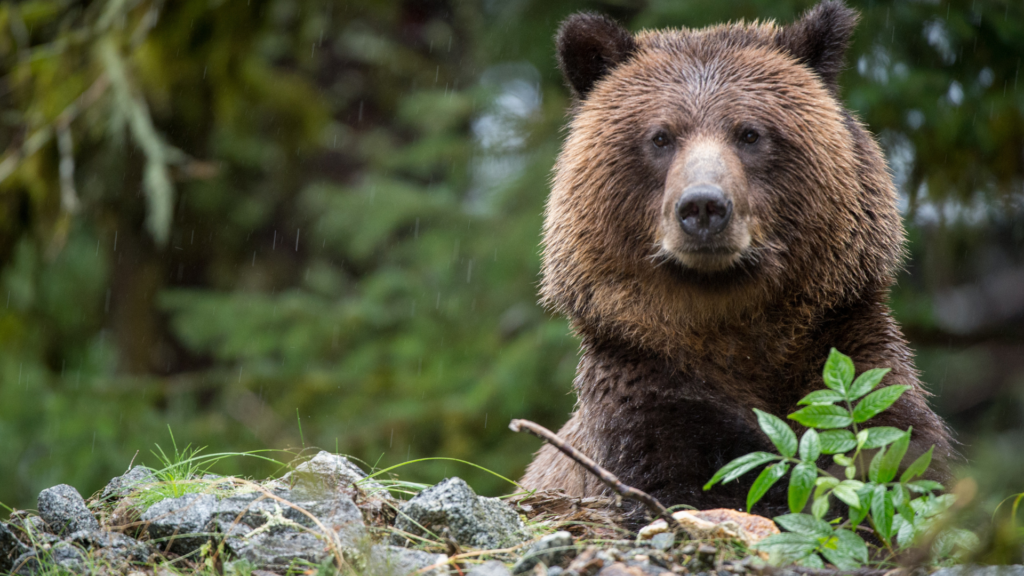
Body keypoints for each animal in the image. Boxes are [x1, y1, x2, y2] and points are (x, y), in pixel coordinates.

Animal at [524, 1, 954, 516]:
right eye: (661, 137)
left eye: (749, 133)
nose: (703, 206)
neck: (731, 323)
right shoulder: (645, 382)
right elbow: (691, 476)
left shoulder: (848, 349)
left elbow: (897, 451)